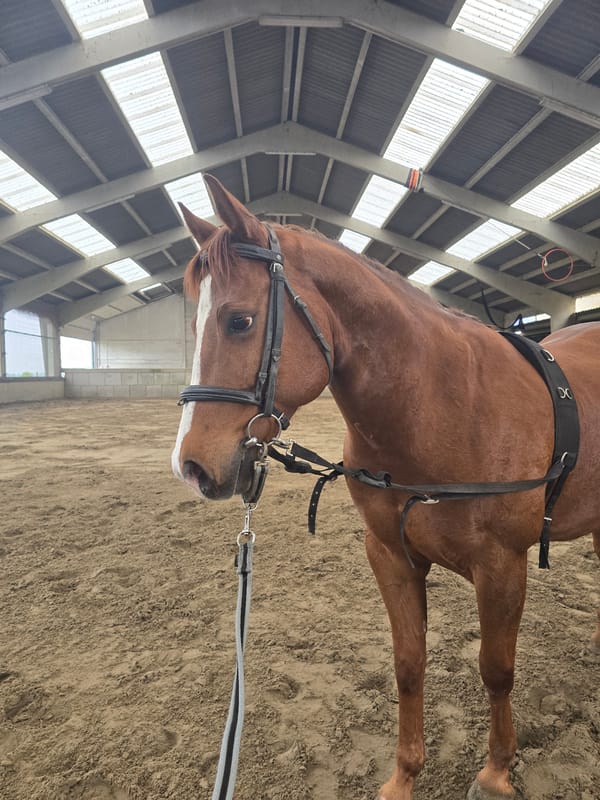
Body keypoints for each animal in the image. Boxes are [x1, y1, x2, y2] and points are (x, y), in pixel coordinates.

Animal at [171, 175, 600, 800]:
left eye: (239, 321)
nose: (193, 466)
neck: (439, 407)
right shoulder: (391, 555)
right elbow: (408, 664)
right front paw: (404, 777)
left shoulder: (502, 565)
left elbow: (497, 670)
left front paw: (496, 770)